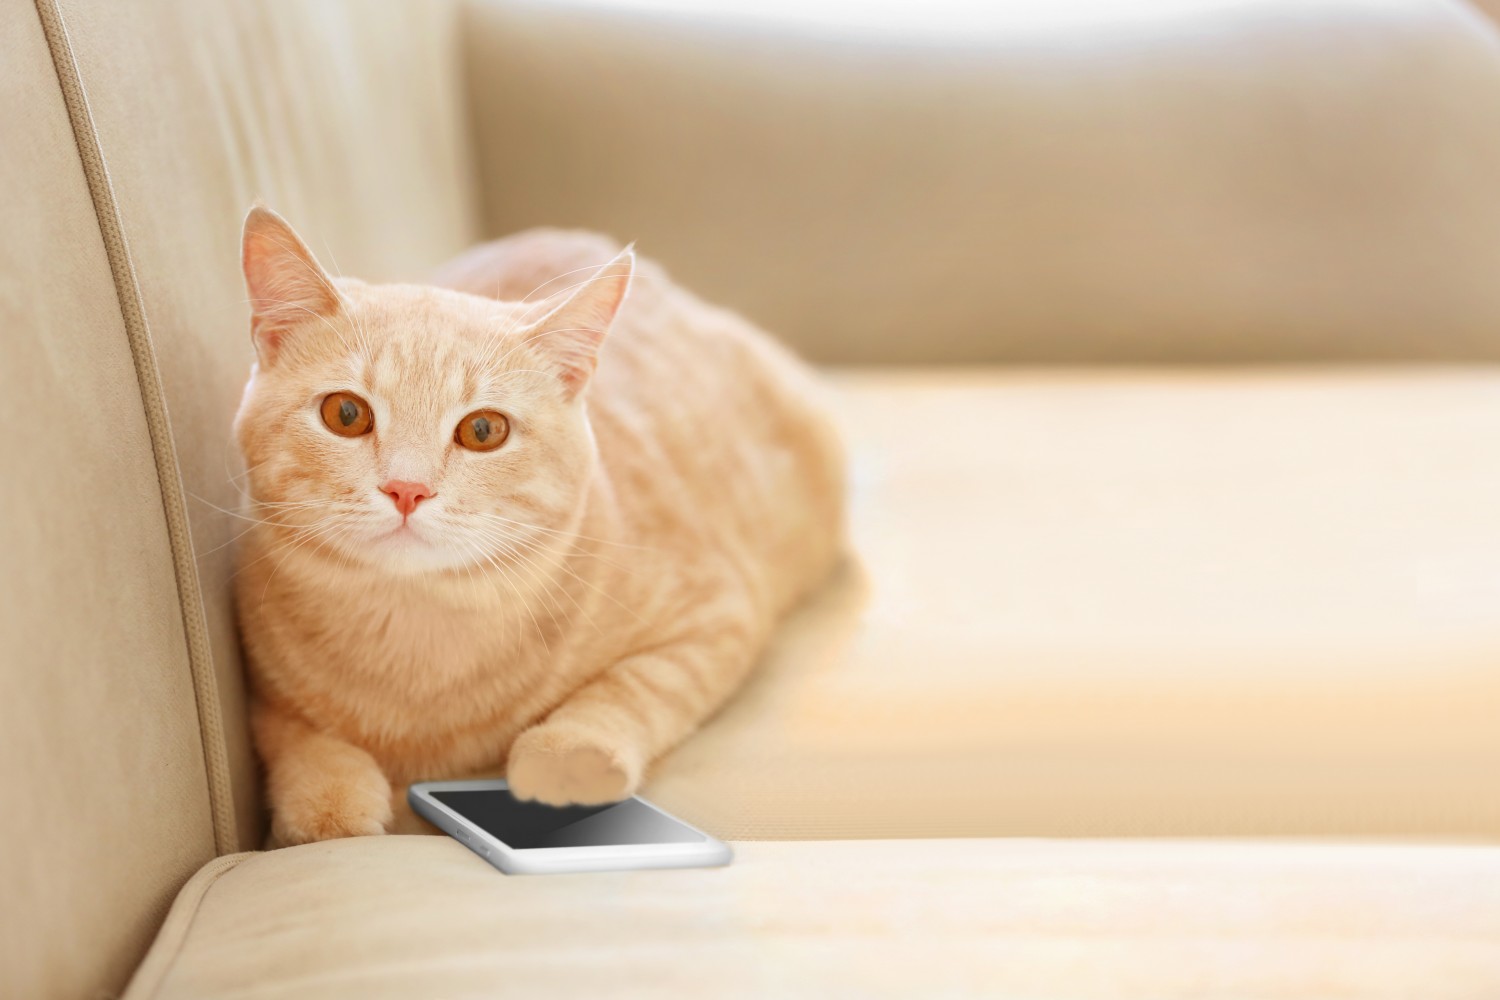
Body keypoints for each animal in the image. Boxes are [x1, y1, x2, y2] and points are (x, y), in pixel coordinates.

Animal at [234, 205, 846, 845]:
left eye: (483, 430)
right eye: (346, 414)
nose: (408, 488)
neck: (416, 634)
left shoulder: (715, 618)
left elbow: (634, 687)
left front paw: (566, 757)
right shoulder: (261, 681)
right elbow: (295, 735)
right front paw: (326, 801)